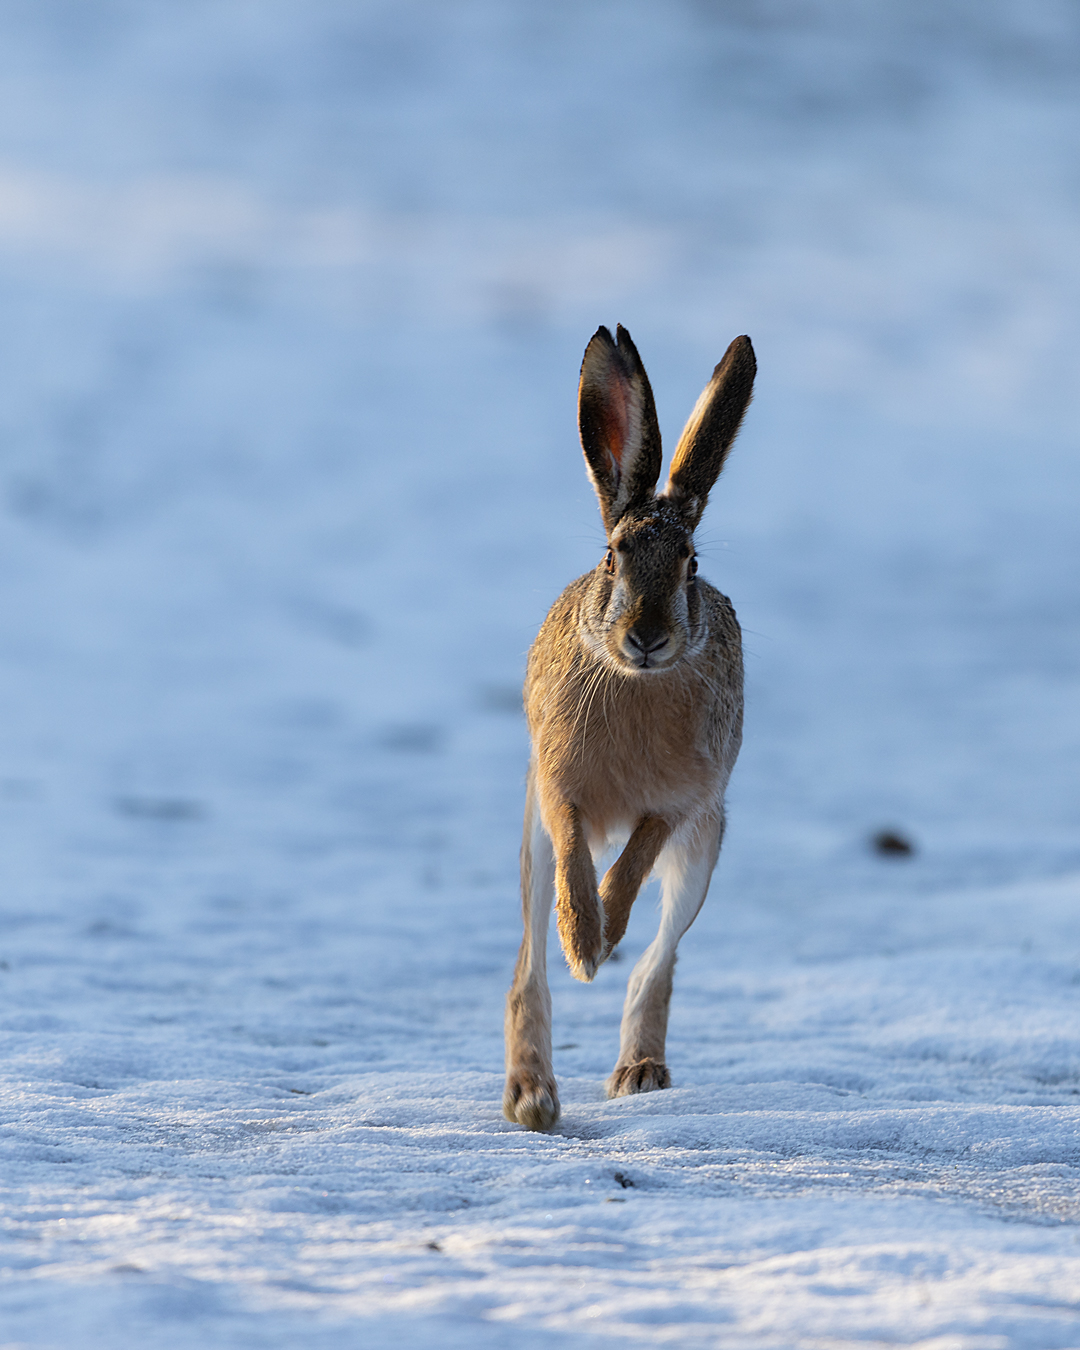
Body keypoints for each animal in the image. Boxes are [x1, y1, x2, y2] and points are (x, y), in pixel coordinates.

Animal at [503, 324, 756, 1131]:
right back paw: (532, 1095)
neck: (635, 681)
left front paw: (602, 936)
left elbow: (635, 859)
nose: (646, 637)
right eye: (613, 557)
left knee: (660, 961)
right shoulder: (556, 788)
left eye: (690, 564)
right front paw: (582, 940)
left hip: (705, 848)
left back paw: (639, 1070)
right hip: (529, 839)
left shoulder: (683, 801)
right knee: (528, 970)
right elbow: (577, 855)